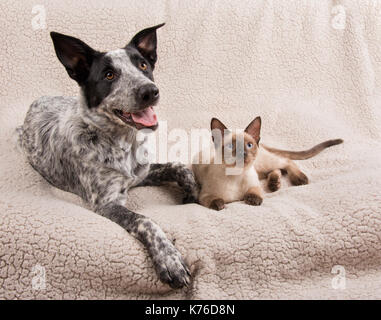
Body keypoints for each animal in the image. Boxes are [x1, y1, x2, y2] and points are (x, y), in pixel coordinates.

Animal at [17, 24, 199, 290]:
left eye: (143, 65)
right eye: (109, 75)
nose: (150, 91)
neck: (123, 143)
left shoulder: (140, 174)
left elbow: (179, 166)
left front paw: (193, 194)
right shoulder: (107, 203)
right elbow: (145, 221)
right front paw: (170, 259)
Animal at [191, 117, 342, 210]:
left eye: (249, 145)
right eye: (230, 146)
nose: (242, 153)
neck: (235, 175)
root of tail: (263, 145)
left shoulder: (255, 185)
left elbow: (254, 192)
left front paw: (253, 200)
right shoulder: (204, 195)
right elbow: (214, 199)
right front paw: (219, 205)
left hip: (262, 163)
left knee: (286, 162)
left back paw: (298, 179)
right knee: (278, 169)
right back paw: (274, 184)